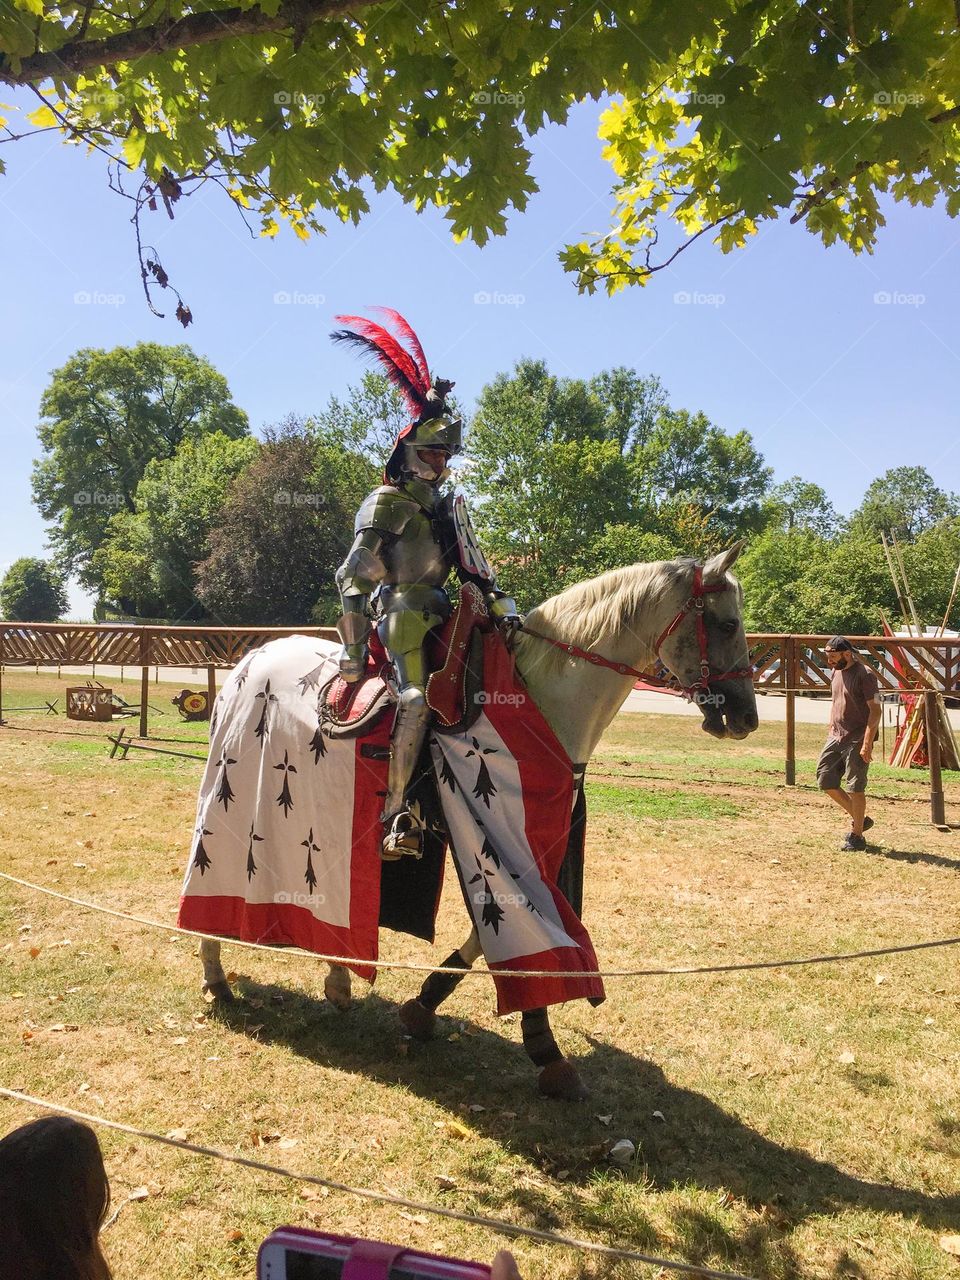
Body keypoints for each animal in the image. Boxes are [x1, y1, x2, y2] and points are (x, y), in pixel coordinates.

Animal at [192, 545, 758, 1099]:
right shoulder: (503, 842)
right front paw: (543, 1046)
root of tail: (249, 660)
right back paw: (216, 972)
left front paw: (425, 1005)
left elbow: (508, 934)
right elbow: (520, 935)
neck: (537, 698)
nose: (745, 718)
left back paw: (338, 979)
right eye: (728, 623)